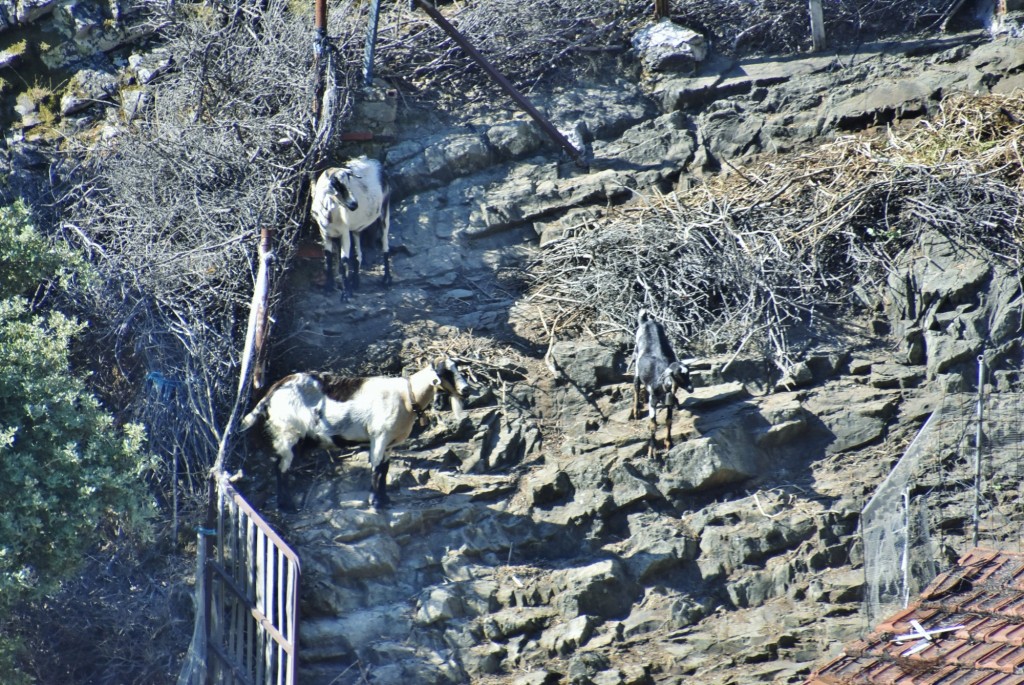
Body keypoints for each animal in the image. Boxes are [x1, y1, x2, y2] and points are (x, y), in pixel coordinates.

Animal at [241, 358, 468, 507]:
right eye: (445, 372)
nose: (466, 390)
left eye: (459, 369)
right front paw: (375, 502)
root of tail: (273, 391)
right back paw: (286, 506)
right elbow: (376, 468)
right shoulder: (379, 436)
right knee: (281, 468)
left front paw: (385, 500)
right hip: (288, 432)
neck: (408, 396)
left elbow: (384, 468)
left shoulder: (389, 443)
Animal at [307, 156, 391, 296]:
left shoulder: (344, 232)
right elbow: (328, 259)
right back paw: (355, 283)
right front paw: (328, 287)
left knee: (385, 244)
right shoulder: (325, 234)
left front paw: (345, 295)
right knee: (358, 254)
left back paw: (386, 279)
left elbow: (344, 261)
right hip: (356, 228)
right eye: (338, 186)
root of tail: (376, 163)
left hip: (384, 211)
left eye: (348, 183)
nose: (354, 205)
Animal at [630, 313, 696, 456]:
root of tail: (646, 321)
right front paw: (652, 450)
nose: (691, 388)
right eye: (677, 375)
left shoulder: (668, 400)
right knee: (636, 385)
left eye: (688, 373)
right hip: (636, 360)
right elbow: (653, 424)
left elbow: (669, 420)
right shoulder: (652, 400)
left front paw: (668, 443)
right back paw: (636, 411)